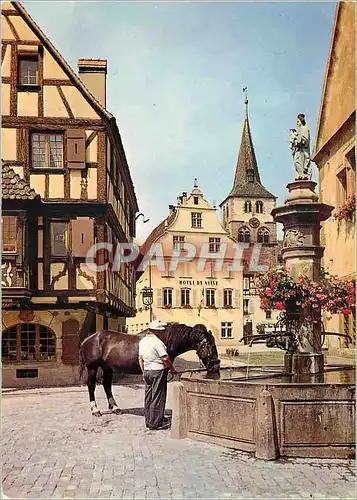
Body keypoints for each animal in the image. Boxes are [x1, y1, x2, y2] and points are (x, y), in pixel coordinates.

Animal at [78, 322, 220, 416]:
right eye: (211, 345)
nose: (216, 366)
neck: (165, 339)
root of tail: (87, 339)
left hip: (107, 368)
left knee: (107, 385)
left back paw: (115, 408)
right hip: (92, 367)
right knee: (91, 385)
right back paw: (95, 410)